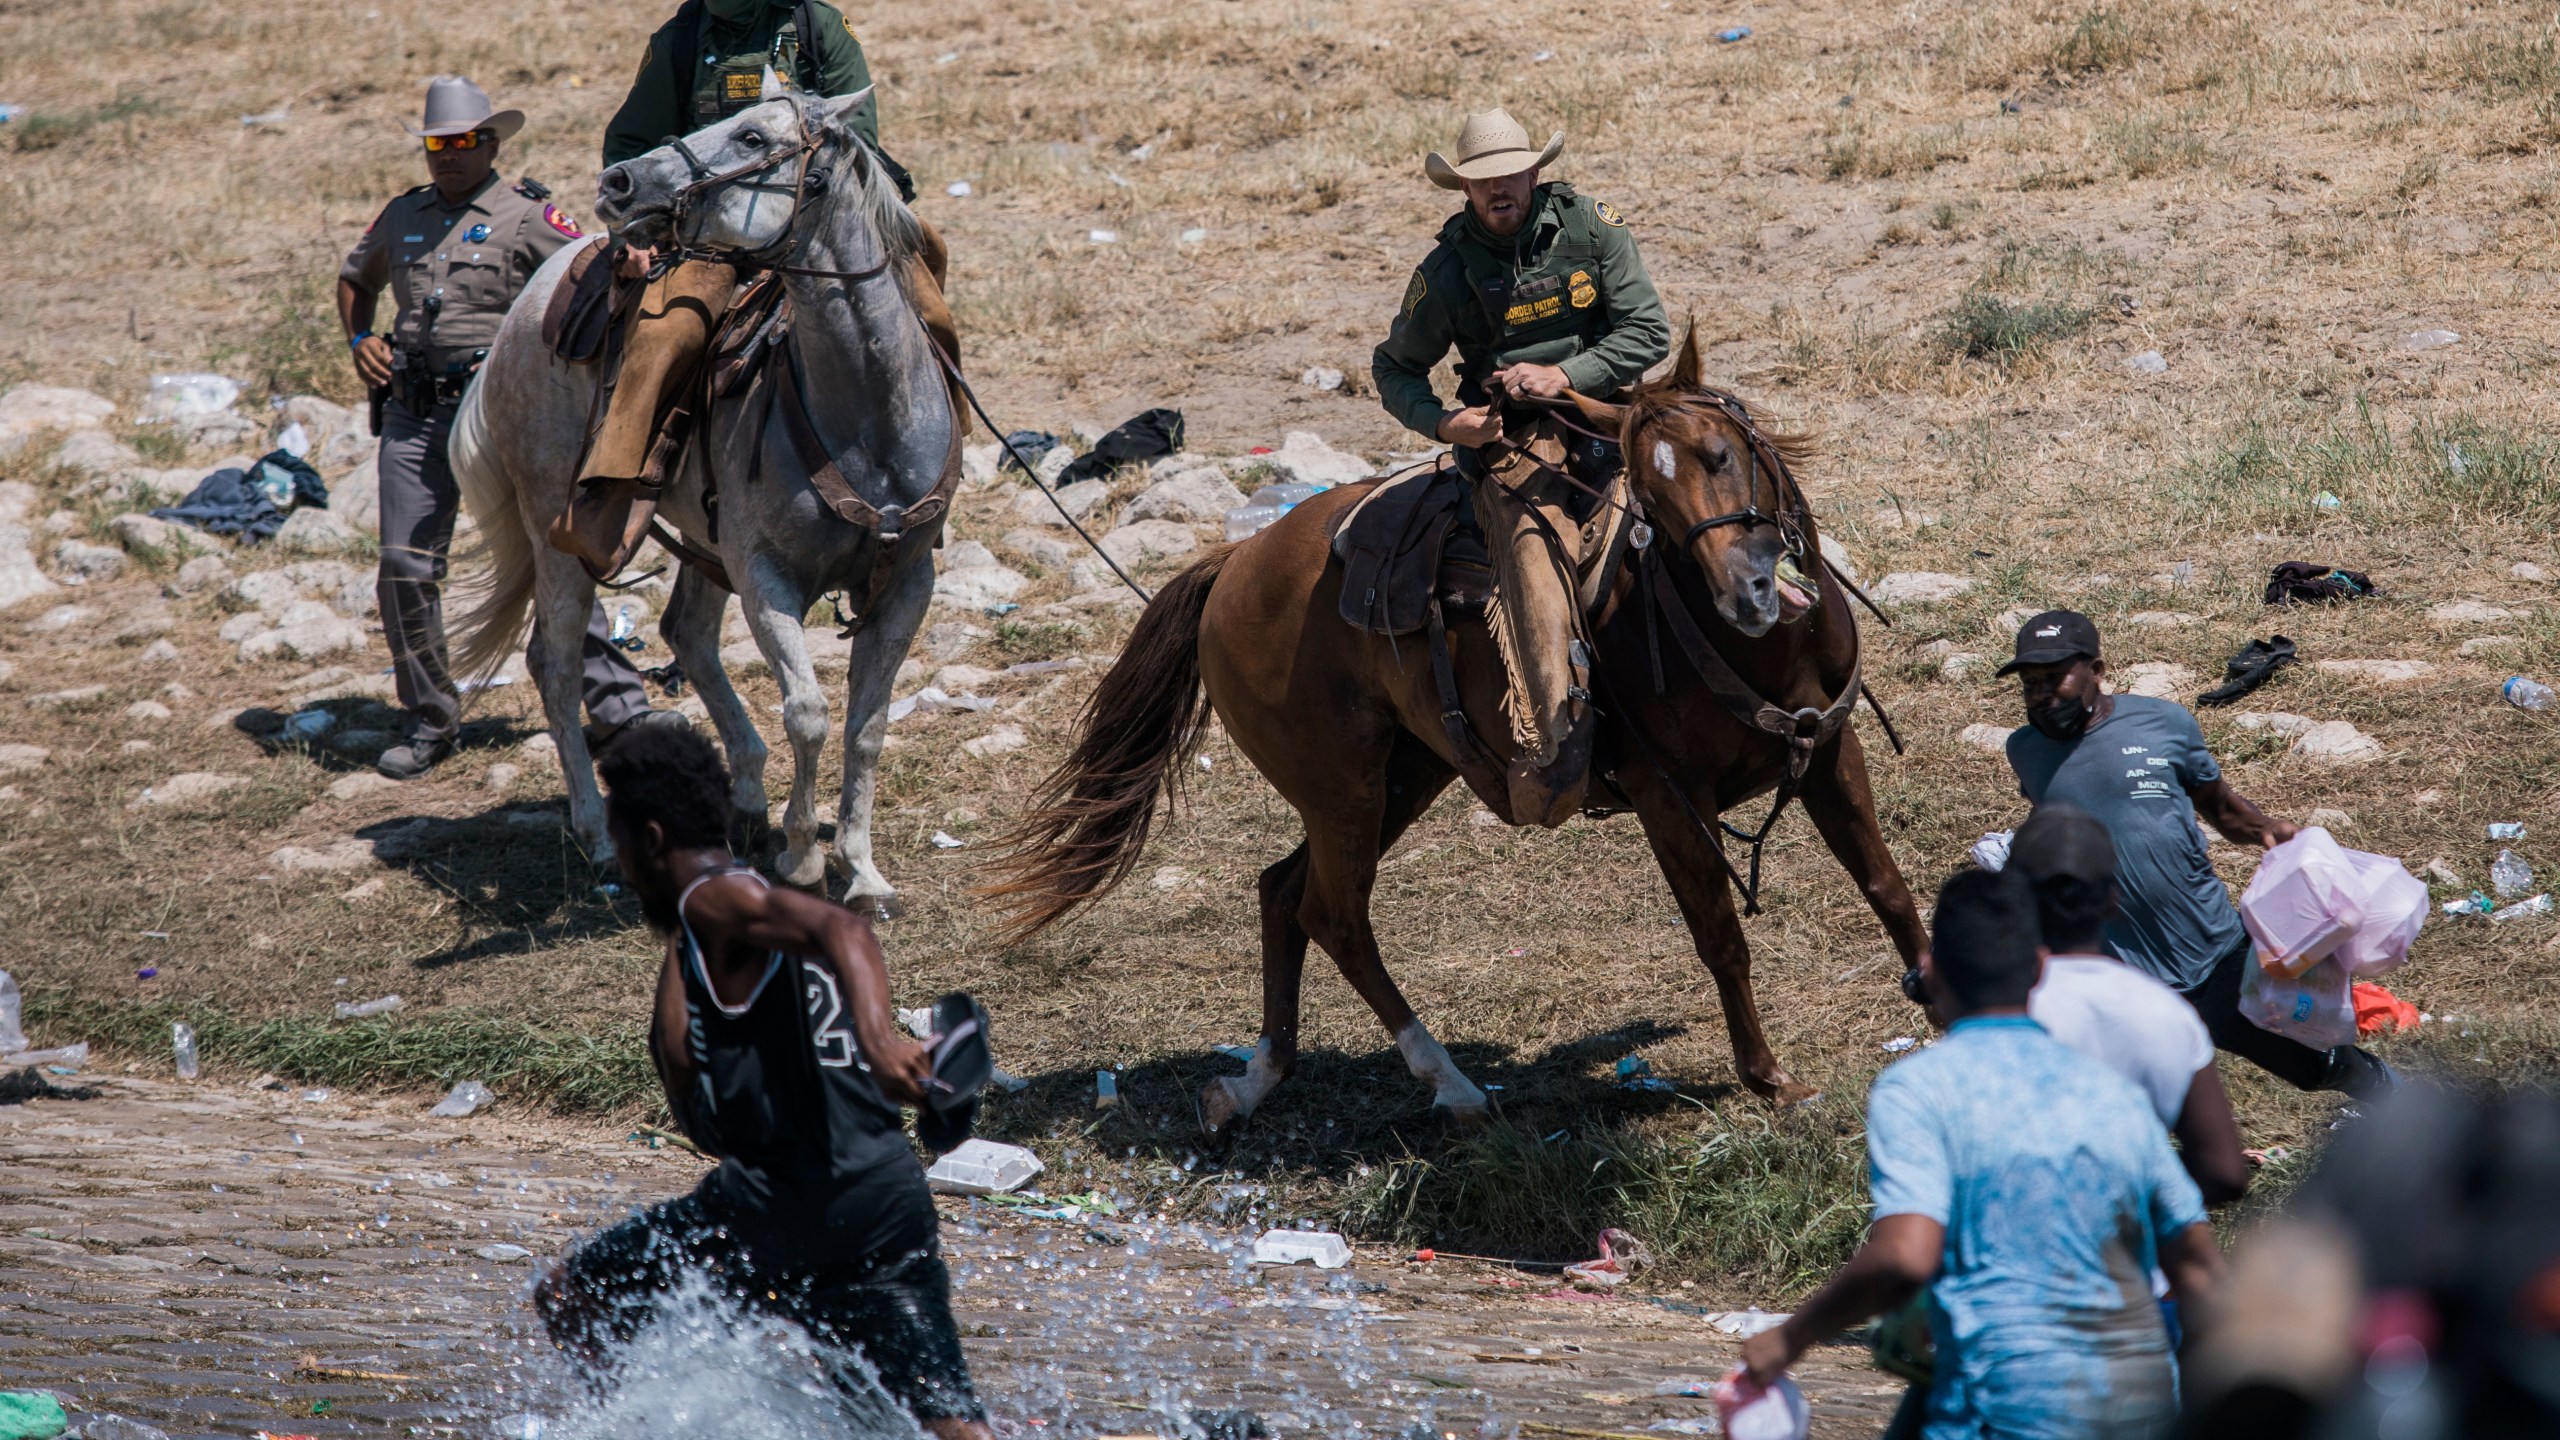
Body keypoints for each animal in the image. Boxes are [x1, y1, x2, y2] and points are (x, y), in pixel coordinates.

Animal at [445, 87, 957, 896]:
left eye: (751, 137)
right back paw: (598, 836)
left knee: (686, 630)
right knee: (555, 663)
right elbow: (809, 711)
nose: (619, 182)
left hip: (704, 537)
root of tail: (520, 312)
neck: (866, 415)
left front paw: (863, 871)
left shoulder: (909, 580)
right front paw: (804, 856)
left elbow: (867, 725)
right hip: (557, 531)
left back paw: (744, 795)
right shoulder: (766, 576)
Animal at [977, 330, 1925, 1127]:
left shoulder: (1831, 749)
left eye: (1722, 456)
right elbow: (1721, 938)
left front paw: (1933, 990)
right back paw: (1450, 1082)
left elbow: (1885, 883)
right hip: (1345, 791)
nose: (1748, 594)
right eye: (1649, 496)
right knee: (1333, 913)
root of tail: (1233, 565)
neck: (1753, 647)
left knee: (1282, 892)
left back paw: (1253, 1082)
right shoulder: (1670, 800)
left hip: (1404, 776)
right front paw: (1769, 1079)